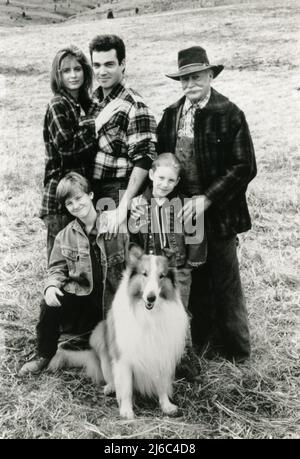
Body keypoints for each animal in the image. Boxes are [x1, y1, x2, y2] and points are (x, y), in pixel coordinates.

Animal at [49, 246, 190, 418]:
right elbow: (126, 388)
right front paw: (126, 411)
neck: (149, 315)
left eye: (161, 276)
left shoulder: (161, 355)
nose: (151, 298)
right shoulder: (124, 358)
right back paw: (110, 387)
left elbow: (162, 385)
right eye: (144, 274)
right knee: (110, 378)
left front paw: (166, 406)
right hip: (100, 338)